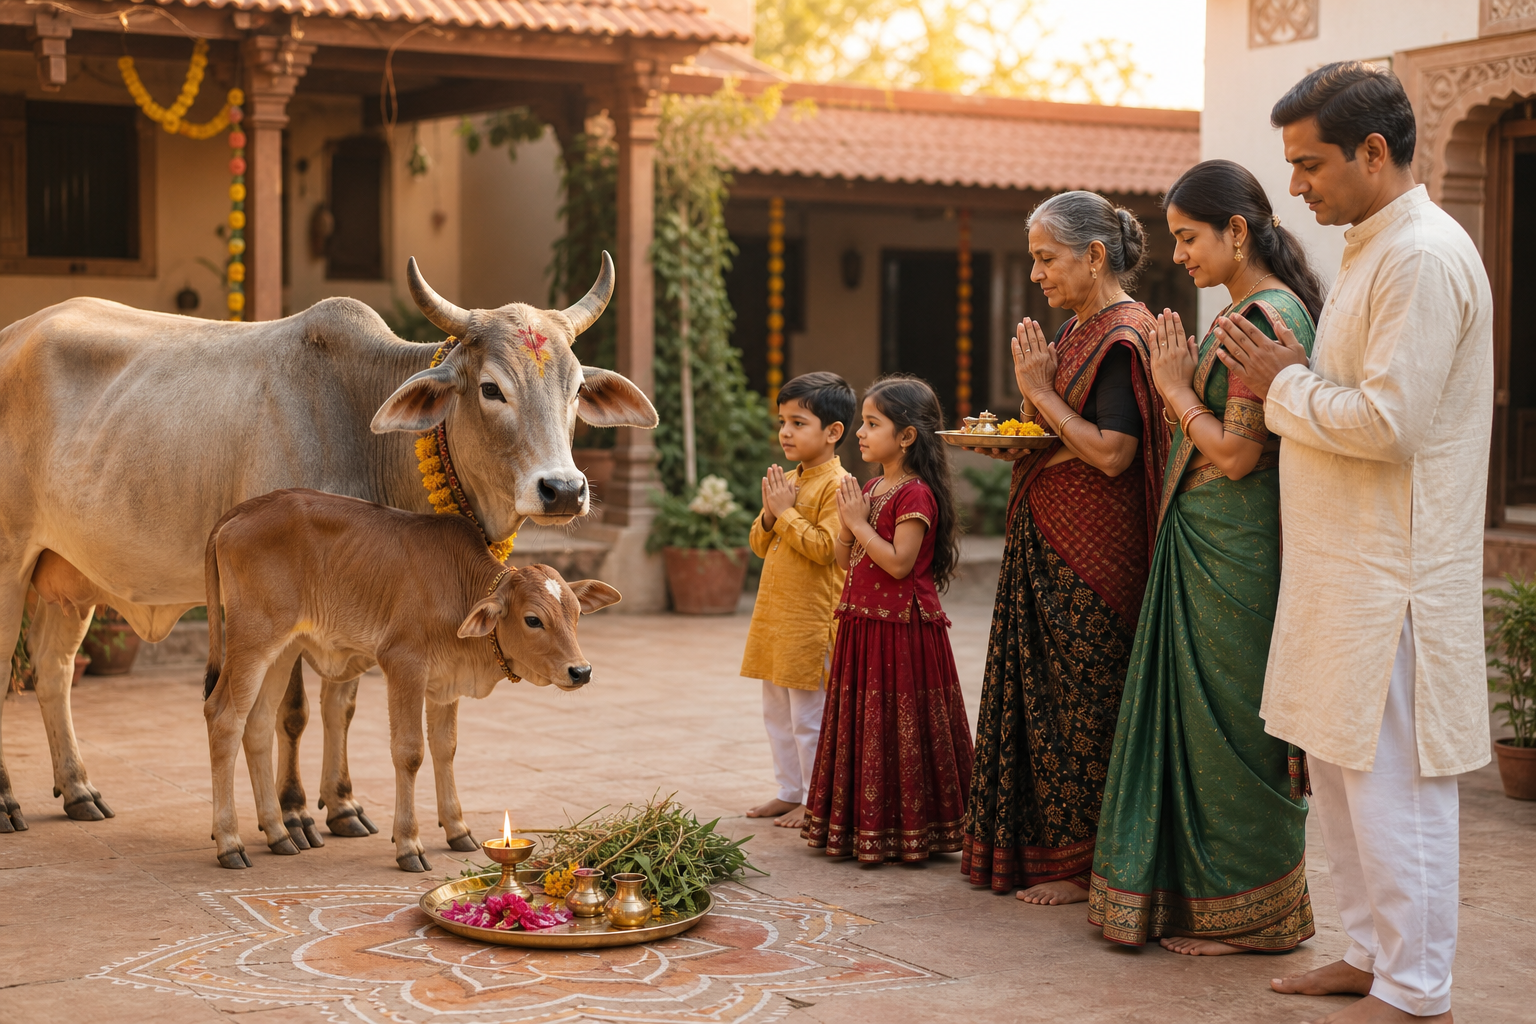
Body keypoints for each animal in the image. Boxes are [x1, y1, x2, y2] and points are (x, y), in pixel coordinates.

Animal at [203, 488, 619, 871]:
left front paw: (457, 829)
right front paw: (408, 844)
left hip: (283, 650)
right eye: (533, 619)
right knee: (223, 718)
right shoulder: (403, 666)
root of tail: (243, 510)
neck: (459, 587)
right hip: (253, 641)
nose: (581, 671)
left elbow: (445, 748)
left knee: (257, 724)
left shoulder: (445, 683)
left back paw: (277, 833)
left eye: (577, 613)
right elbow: (410, 753)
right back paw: (230, 843)